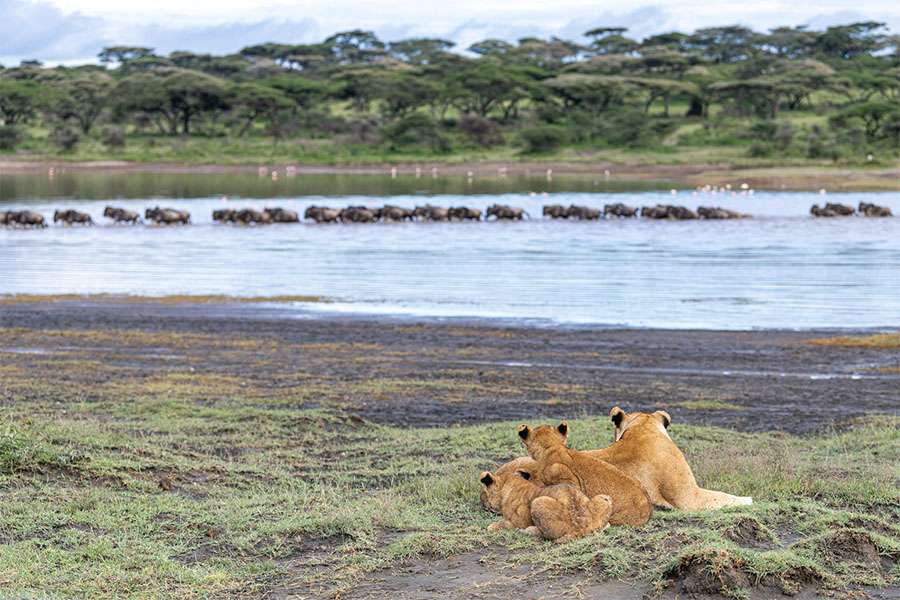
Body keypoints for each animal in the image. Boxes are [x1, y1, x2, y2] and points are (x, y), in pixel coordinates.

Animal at [479, 470, 613, 543]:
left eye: (483, 493)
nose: (482, 505)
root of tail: (582, 527)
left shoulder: (517, 522)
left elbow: (497, 525)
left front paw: (492, 526)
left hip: (537, 502)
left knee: (549, 537)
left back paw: (529, 531)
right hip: (605, 498)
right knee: (607, 525)